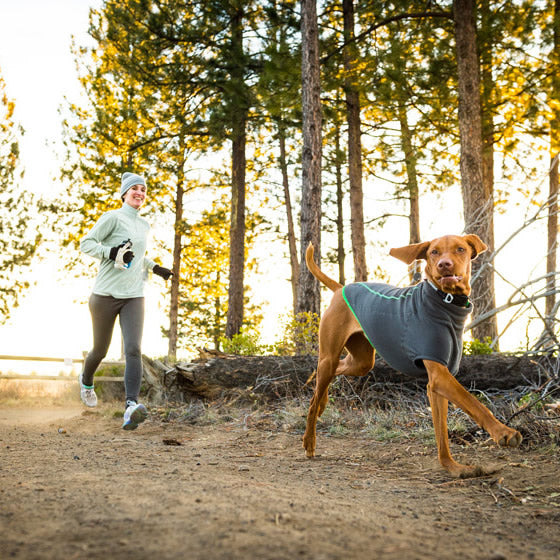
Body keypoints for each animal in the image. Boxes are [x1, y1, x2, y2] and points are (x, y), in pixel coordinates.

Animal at [304, 234, 524, 480]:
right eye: (433, 252)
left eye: (460, 249)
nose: (444, 265)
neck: (445, 301)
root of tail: (340, 289)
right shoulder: (440, 376)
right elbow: (474, 403)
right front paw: (503, 432)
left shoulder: (437, 382)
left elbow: (442, 433)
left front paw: (452, 466)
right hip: (331, 355)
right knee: (318, 388)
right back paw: (309, 441)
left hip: (361, 361)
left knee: (334, 371)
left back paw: (320, 399)